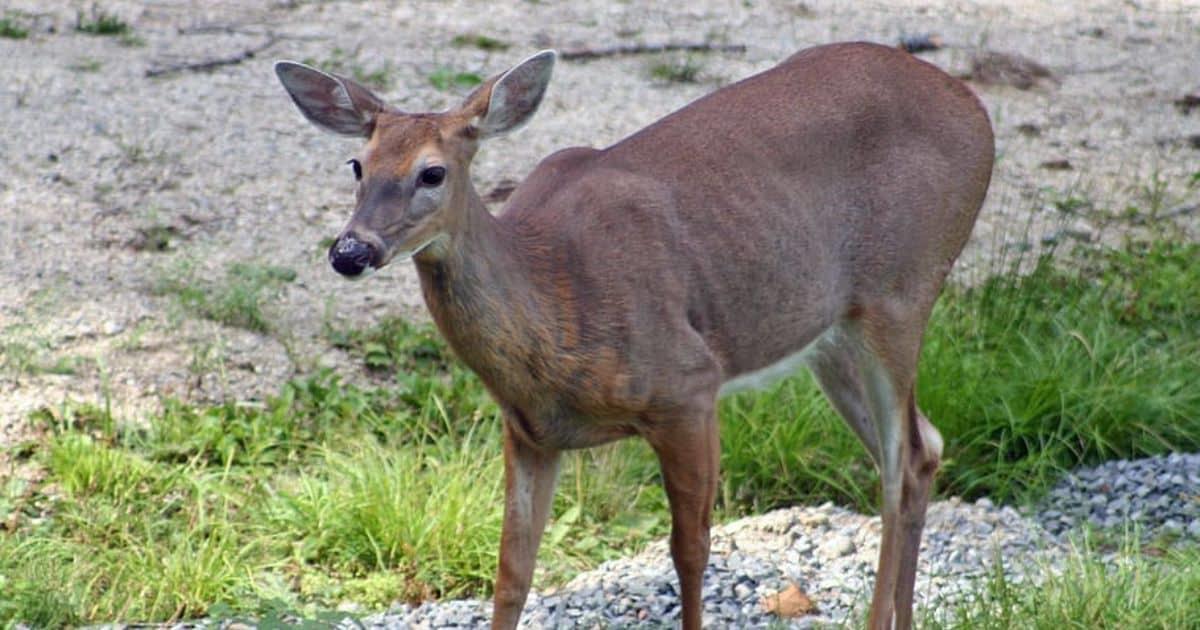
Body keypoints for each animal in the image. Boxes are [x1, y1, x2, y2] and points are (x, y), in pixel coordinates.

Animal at [274, 40, 993, 628]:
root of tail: (976, 110)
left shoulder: (688, 386)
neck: (556, 295)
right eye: (356, 164)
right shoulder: (529, 431)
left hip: (901, 289)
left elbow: (691, 550)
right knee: (924, 447)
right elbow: (512, 573)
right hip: (831, 331)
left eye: (432, 172)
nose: (350, 251)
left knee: (901, 463)